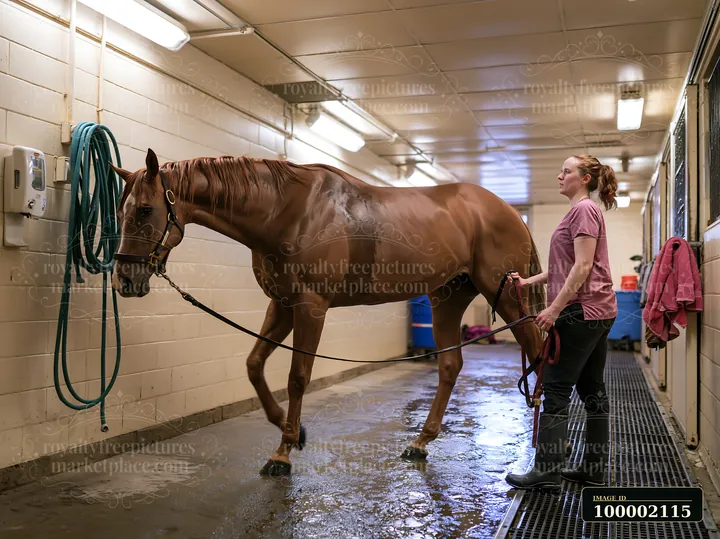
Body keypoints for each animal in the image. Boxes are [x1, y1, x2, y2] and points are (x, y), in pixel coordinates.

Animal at [111, 148, 546, 476]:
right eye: (119, 210)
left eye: (145, 210)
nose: (124, 280)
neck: (285, 211)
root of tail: (510, 212)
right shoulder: (282, 304)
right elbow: (254, 364)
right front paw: (292, 430)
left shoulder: (310, 306)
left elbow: (297, 377)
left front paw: (282, 453)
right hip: (447, 298)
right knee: (450, 366)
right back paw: (420, 442)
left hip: (506, 297)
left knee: (538, 350)